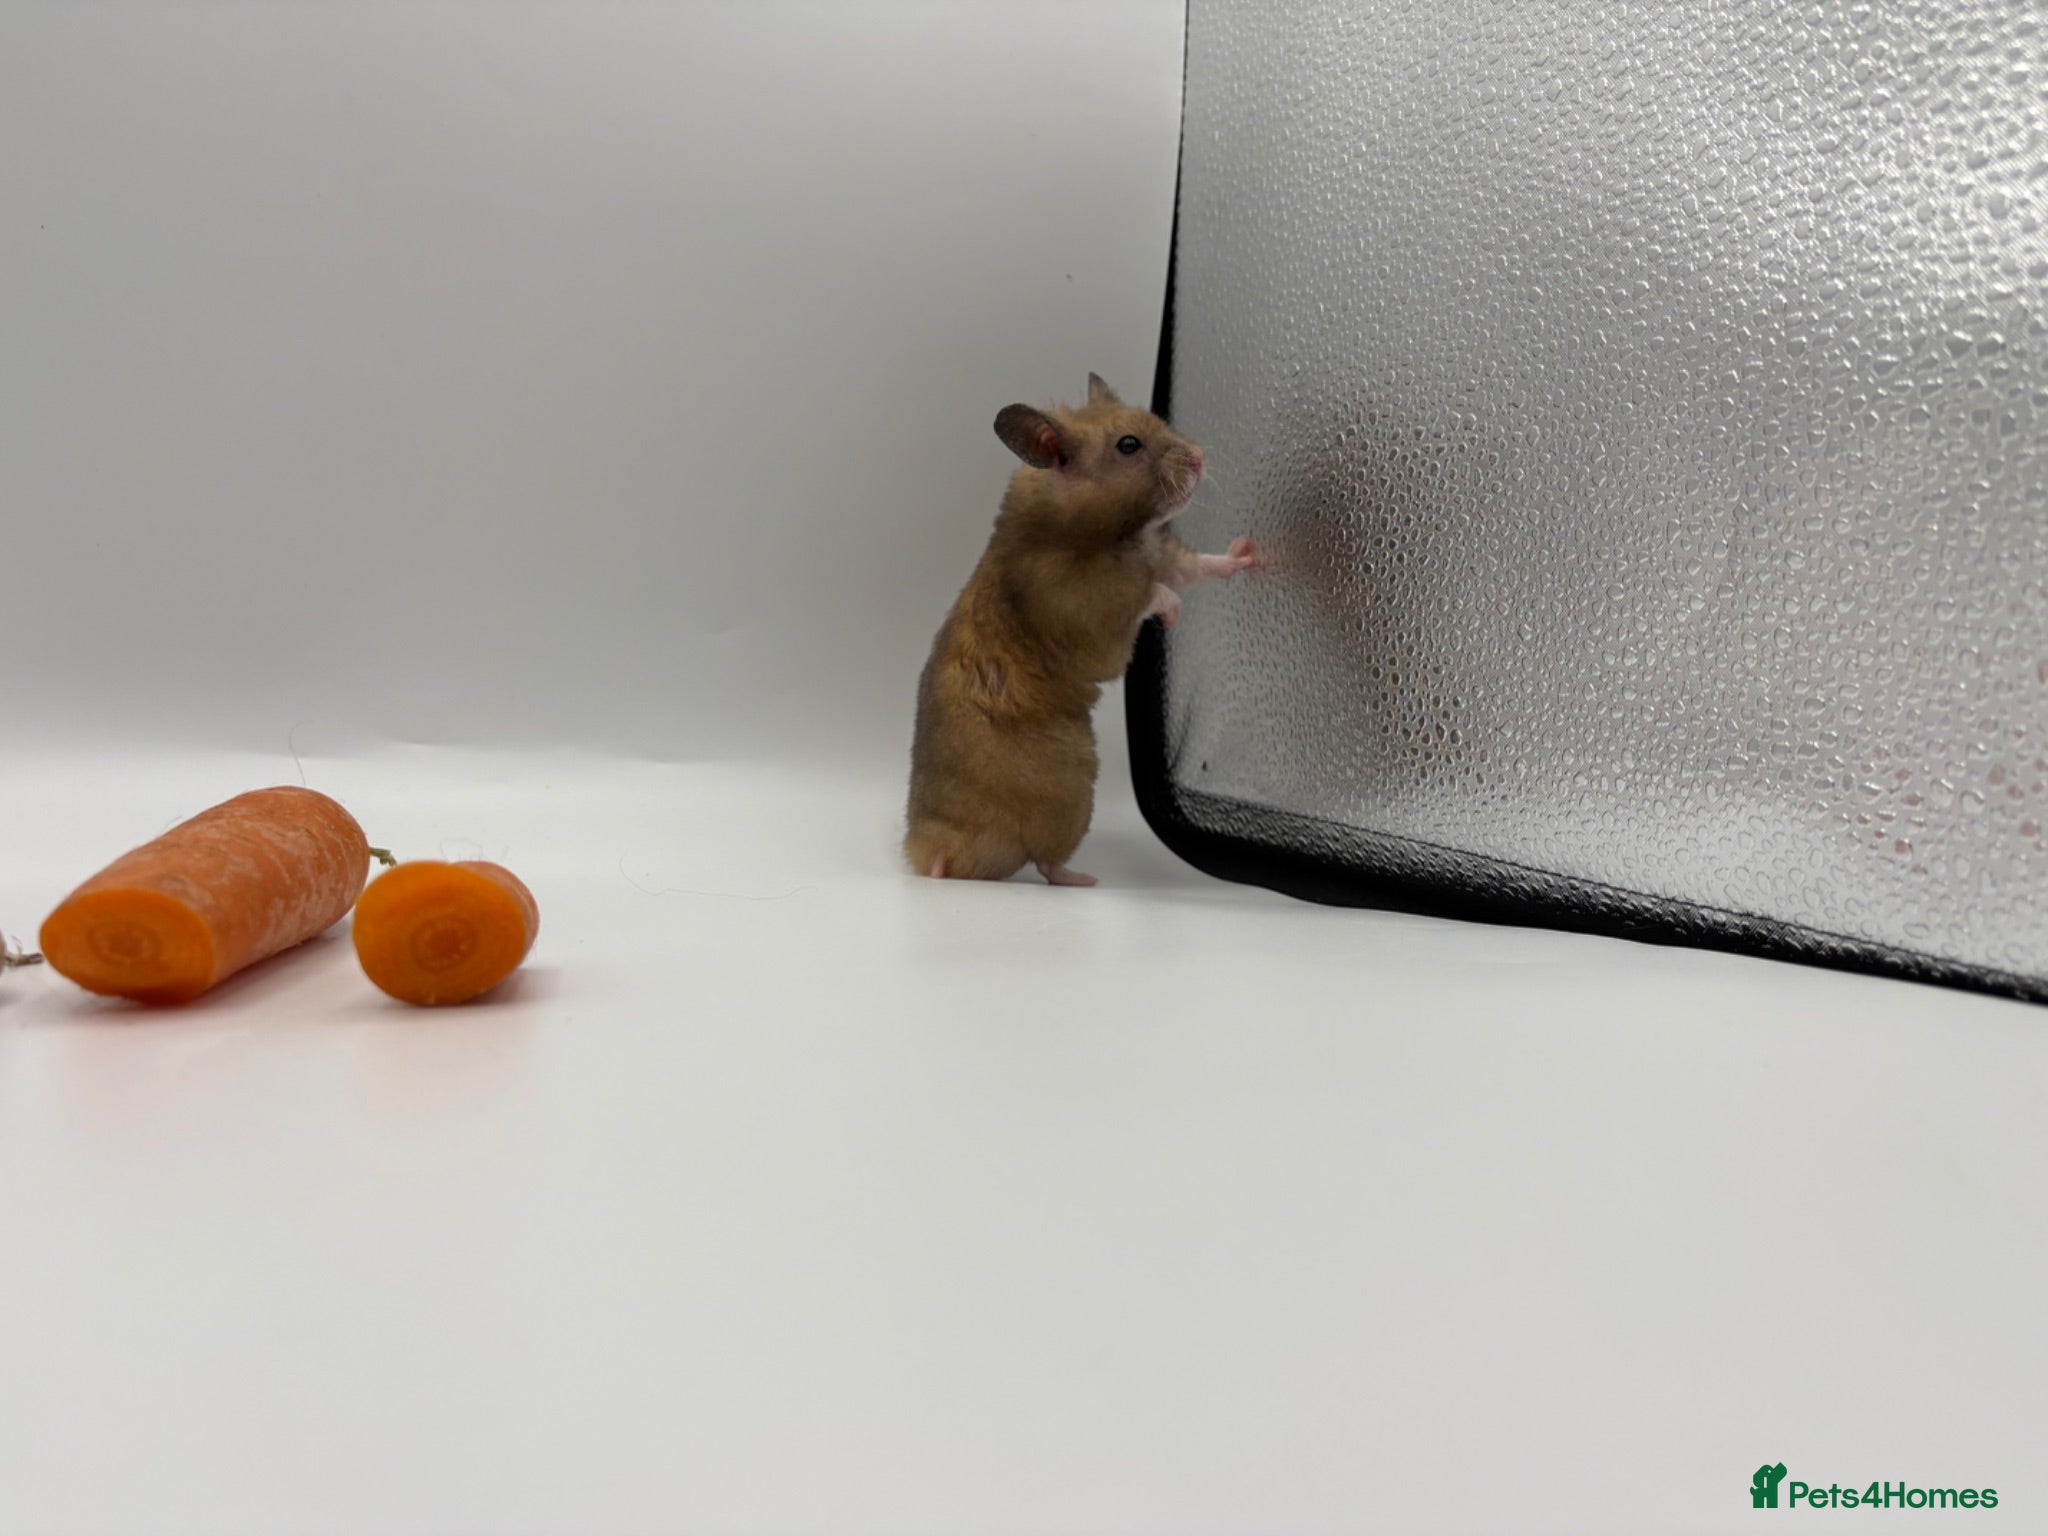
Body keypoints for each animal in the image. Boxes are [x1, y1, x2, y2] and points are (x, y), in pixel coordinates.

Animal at [904, 372, 1258, 885]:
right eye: (1128, 445)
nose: (1199, 457)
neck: (1112, 533)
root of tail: (945, 856)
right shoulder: (1083, 603)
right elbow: (1146, 594)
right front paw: (1172, 613)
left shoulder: (1160, 554)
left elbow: (1194, 567)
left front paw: (1248, 553)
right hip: (1069, 796)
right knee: (1047, 862)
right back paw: (1085, 880)